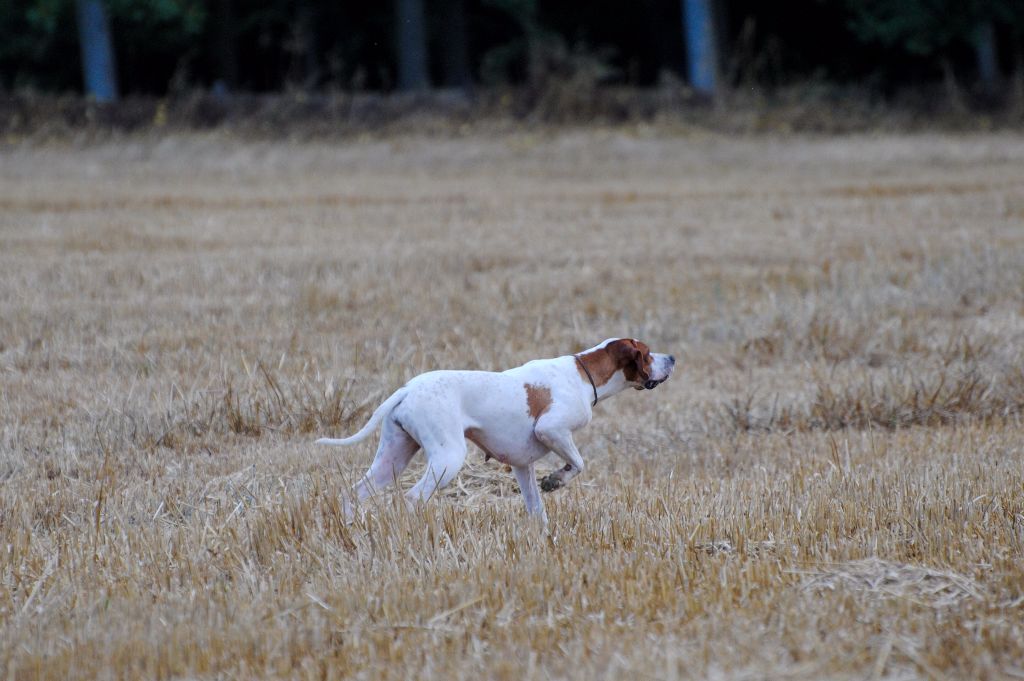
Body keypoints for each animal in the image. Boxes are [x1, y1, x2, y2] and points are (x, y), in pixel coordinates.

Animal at [315, 337, 675, 522]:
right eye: (646, 353)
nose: (671, 357)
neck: (584, 374)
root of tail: (407, 389)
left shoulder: (521, 465)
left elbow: (536, 508)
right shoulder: (553, 430)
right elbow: (578, 464)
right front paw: (555, 480)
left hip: (391, 459)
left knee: (353, 493)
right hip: (447, 459)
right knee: (412, 497)